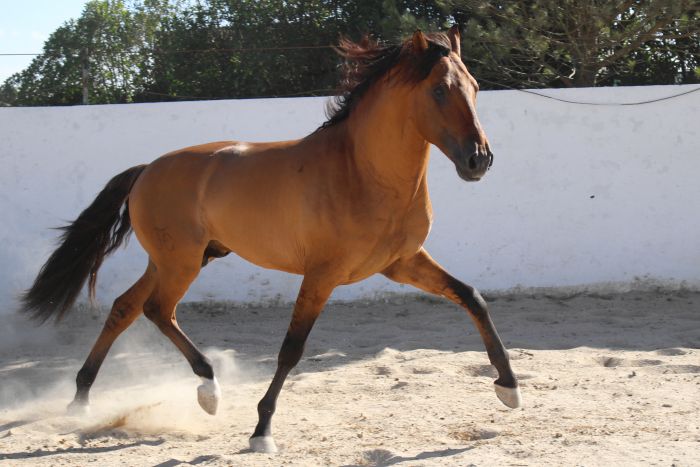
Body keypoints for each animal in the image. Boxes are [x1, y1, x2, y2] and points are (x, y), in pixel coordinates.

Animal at [21, 27, 520, 456]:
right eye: (439, 90)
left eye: (475, 87)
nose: (480, 160)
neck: (362, 172)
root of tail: (146, 170)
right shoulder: (322, 275)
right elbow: (291, 349)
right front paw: (261, 432)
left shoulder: (402, 263)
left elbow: (472, 298)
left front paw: (509, 389)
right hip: (181, 262)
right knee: (157, 310)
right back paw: (208, 389)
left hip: (175, 260)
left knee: (126, 307)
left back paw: (82, 399)